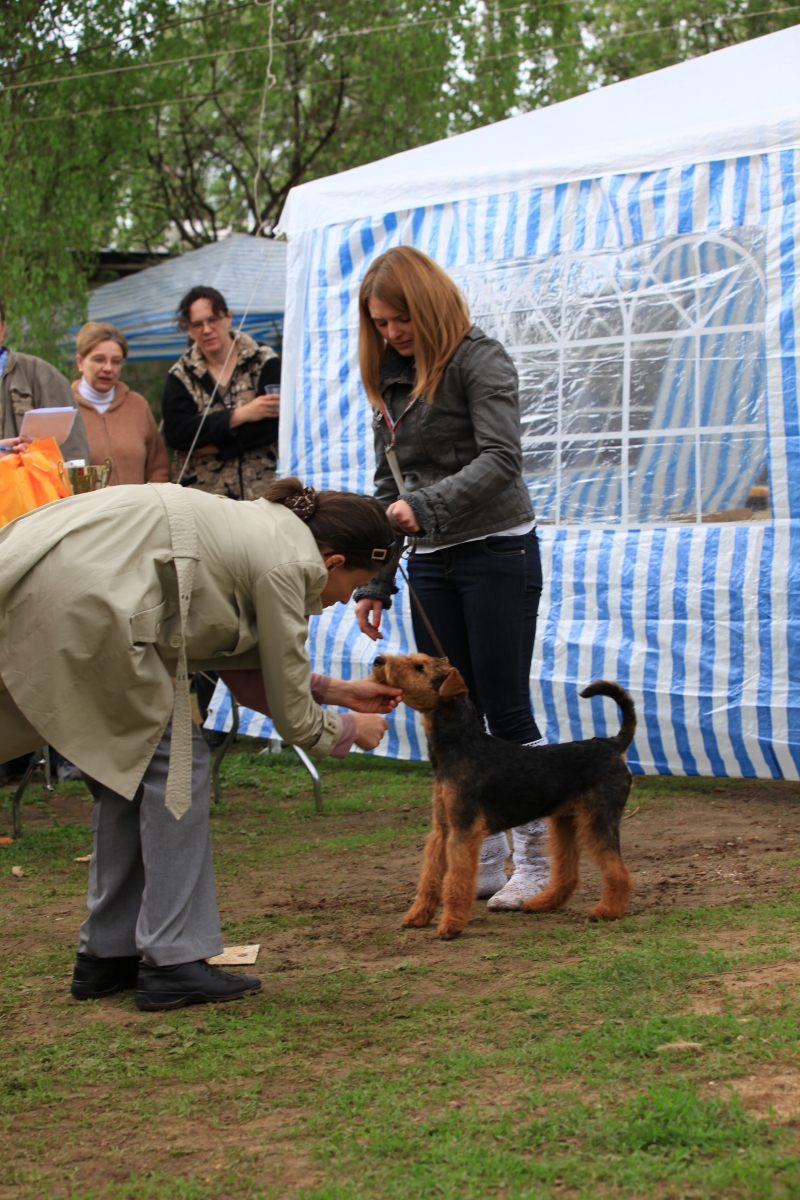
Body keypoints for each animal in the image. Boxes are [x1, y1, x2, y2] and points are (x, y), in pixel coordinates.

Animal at [371, 652, 638, 940]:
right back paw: (543, 903)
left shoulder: (463, 830)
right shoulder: (442, 829)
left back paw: (608, 910)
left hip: (598, 820)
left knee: (618, 870)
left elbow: (456, 881)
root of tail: (612, 745)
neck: (460, 744)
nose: (378, 660)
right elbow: (430, 877)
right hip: (565, 821)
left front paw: (451, 925)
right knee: (569, 872)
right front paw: (418, 916)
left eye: (420, 667)